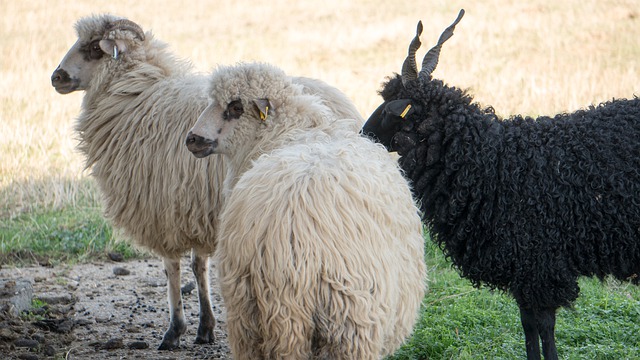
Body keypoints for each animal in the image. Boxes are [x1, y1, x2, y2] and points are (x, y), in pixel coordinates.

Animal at [50, 14, 364, 352]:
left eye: (95, 48)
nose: (56, 77)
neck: (137, 94)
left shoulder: (163, 209)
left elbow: (171, 268)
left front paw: (175, 330)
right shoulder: (193, 210)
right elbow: (198, 265)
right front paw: (205, 326)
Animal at [185, 62, 424, 360]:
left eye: (236, 107)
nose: (192, 138)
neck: (290, 132)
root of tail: (282, 240)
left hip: (251, 320)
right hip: (346, 322)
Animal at [362, 9, 640, 360]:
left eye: (390, 108)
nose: (362, 132)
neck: (491, 160)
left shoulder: (539, 267)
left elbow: (544, 327)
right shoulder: (522, 269)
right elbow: (528, 326)